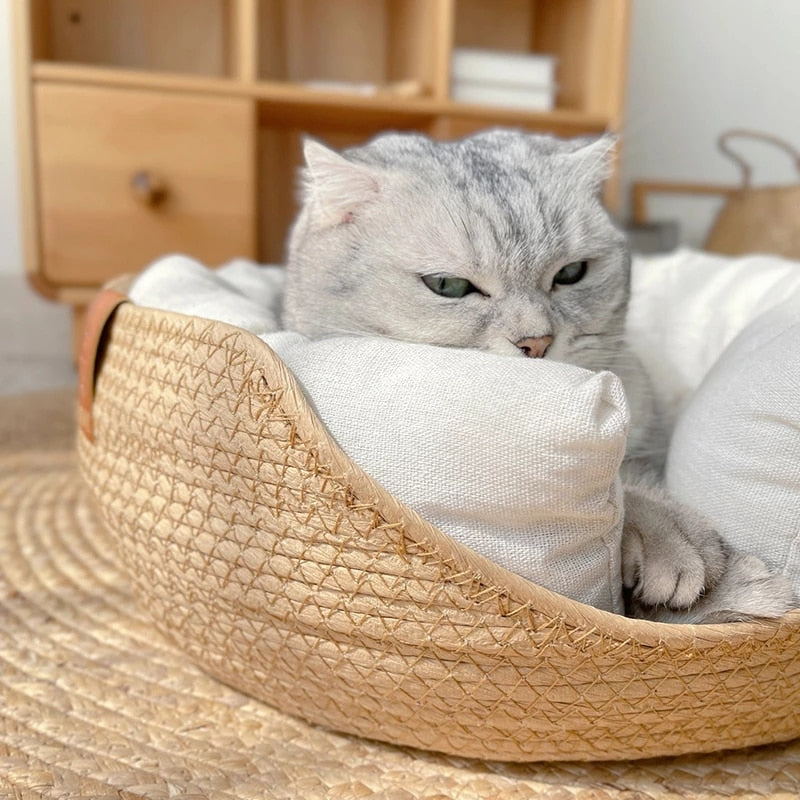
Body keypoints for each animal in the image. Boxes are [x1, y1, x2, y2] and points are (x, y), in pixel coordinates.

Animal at [282, 126, 792, 624]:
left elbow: (635, 483)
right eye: (448, 285)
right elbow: (626, 500)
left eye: (571, 273)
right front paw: (677, 548)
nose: (537, 342)